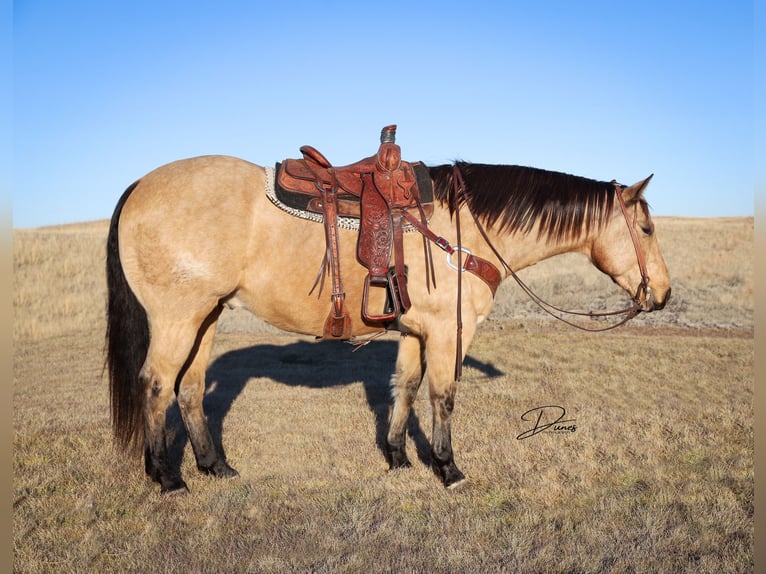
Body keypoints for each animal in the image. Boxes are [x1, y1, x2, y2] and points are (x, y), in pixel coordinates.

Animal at [103, 127, 672, 496]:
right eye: (646, 229)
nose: (662, 294)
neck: (465, 226)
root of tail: (139, 186)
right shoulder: (448, 331)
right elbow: (443, 396)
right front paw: (447, 468)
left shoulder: (415, 332)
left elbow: (407, 386)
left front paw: (398, 457)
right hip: (178, 318)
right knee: (156, 384)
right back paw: (168, 477)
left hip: (208, 315)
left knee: (190, 388)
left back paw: (214, 466)